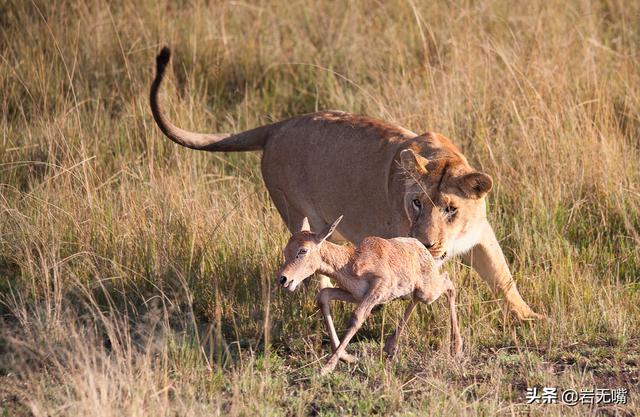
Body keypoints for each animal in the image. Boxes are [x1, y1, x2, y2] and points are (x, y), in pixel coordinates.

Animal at [278, 214, 462, 374]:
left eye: (303, 250)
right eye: (286, 249)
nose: (283, 279)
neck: (351, 261)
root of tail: (420, 247)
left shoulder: (378, 288)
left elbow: (356, 317)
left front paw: (327, 368)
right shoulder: (355, 295)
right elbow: (323, 295)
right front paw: (348, 358)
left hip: (428, 292)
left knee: (448, 283)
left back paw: (456, 347)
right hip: (416, 291)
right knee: (417, 297)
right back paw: (389, 346)